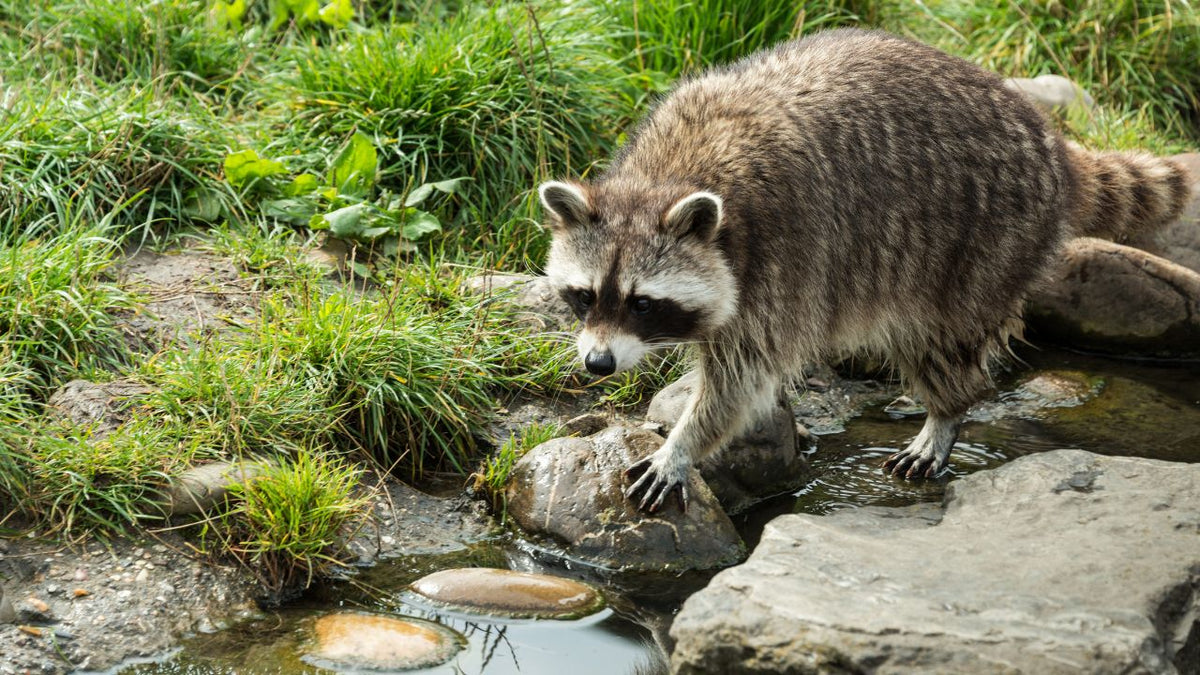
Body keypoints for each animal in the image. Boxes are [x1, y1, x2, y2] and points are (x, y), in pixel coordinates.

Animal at [538, 29, 1192, 512]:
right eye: (585, 296)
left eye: (642, 303)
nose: (597, 365)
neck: (668, 176)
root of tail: (1050, 141)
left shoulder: (780, 259)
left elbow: (740, 378)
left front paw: (684, 445)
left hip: (982, 238)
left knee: (938, 337)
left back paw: (947, 412)